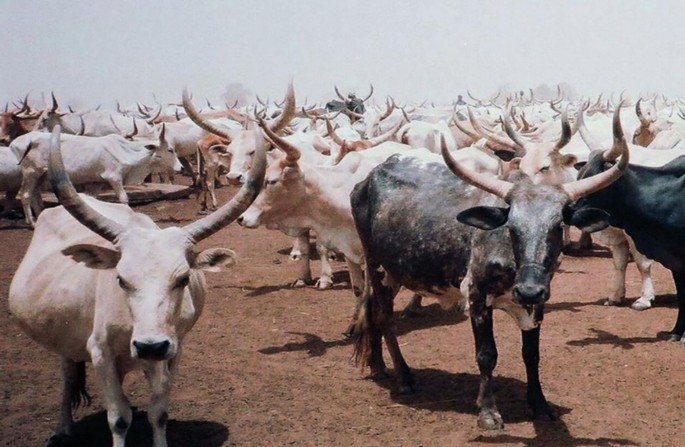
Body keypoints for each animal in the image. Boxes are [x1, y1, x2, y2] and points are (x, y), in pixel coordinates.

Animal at [11, 125, 181, 226]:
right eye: (170, 150)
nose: (181, 167)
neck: (127, 151)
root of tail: (21, 141)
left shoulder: (96, 182)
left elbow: (92, 201)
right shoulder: (113, 177)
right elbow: (123, 198)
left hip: (39, 176)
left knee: (35, 196)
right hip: (31, 173)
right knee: (25, 195)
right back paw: (32, 223)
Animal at [350, 133, 628, 429]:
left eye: (557, 227)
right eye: (511, 227)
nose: (528, 290)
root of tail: (368, 179)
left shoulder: (538, 302)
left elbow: (531, 354)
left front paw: (539, 404)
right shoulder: (477, 295)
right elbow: (487, 354)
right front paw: (488, 411)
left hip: (395, 271)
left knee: (373, 312)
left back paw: (379, 367)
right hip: (375, 264)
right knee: (384, 317)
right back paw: (404, 378)